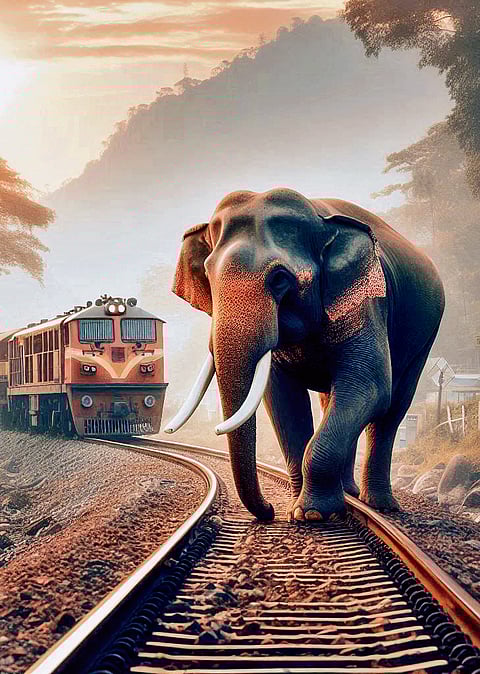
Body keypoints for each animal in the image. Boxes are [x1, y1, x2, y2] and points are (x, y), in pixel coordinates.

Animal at [165, 188, 444, 523]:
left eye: (279, 279)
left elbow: (369, 385)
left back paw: (379, 505)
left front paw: (312, 514)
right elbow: (282, 397)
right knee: (332, 399)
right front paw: (297, 509)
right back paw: (350, 494)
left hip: (425, 334)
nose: (268, 511)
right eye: (207, 274)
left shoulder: (369, 303)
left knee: (393, 407)